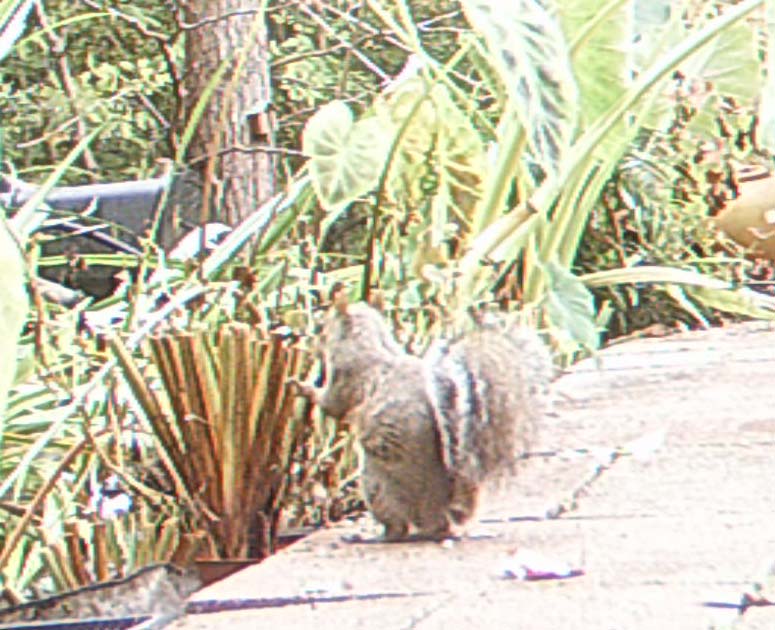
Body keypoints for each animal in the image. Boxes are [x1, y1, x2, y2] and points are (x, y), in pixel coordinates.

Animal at [292, 287, 552, 541]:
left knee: (398, 527)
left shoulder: (349, 374)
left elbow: (333, 404)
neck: (373, 342)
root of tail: (439, 514)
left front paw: (303, 388)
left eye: (323, 327)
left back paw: (372, 537)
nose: (313, 344)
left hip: (377, 488)